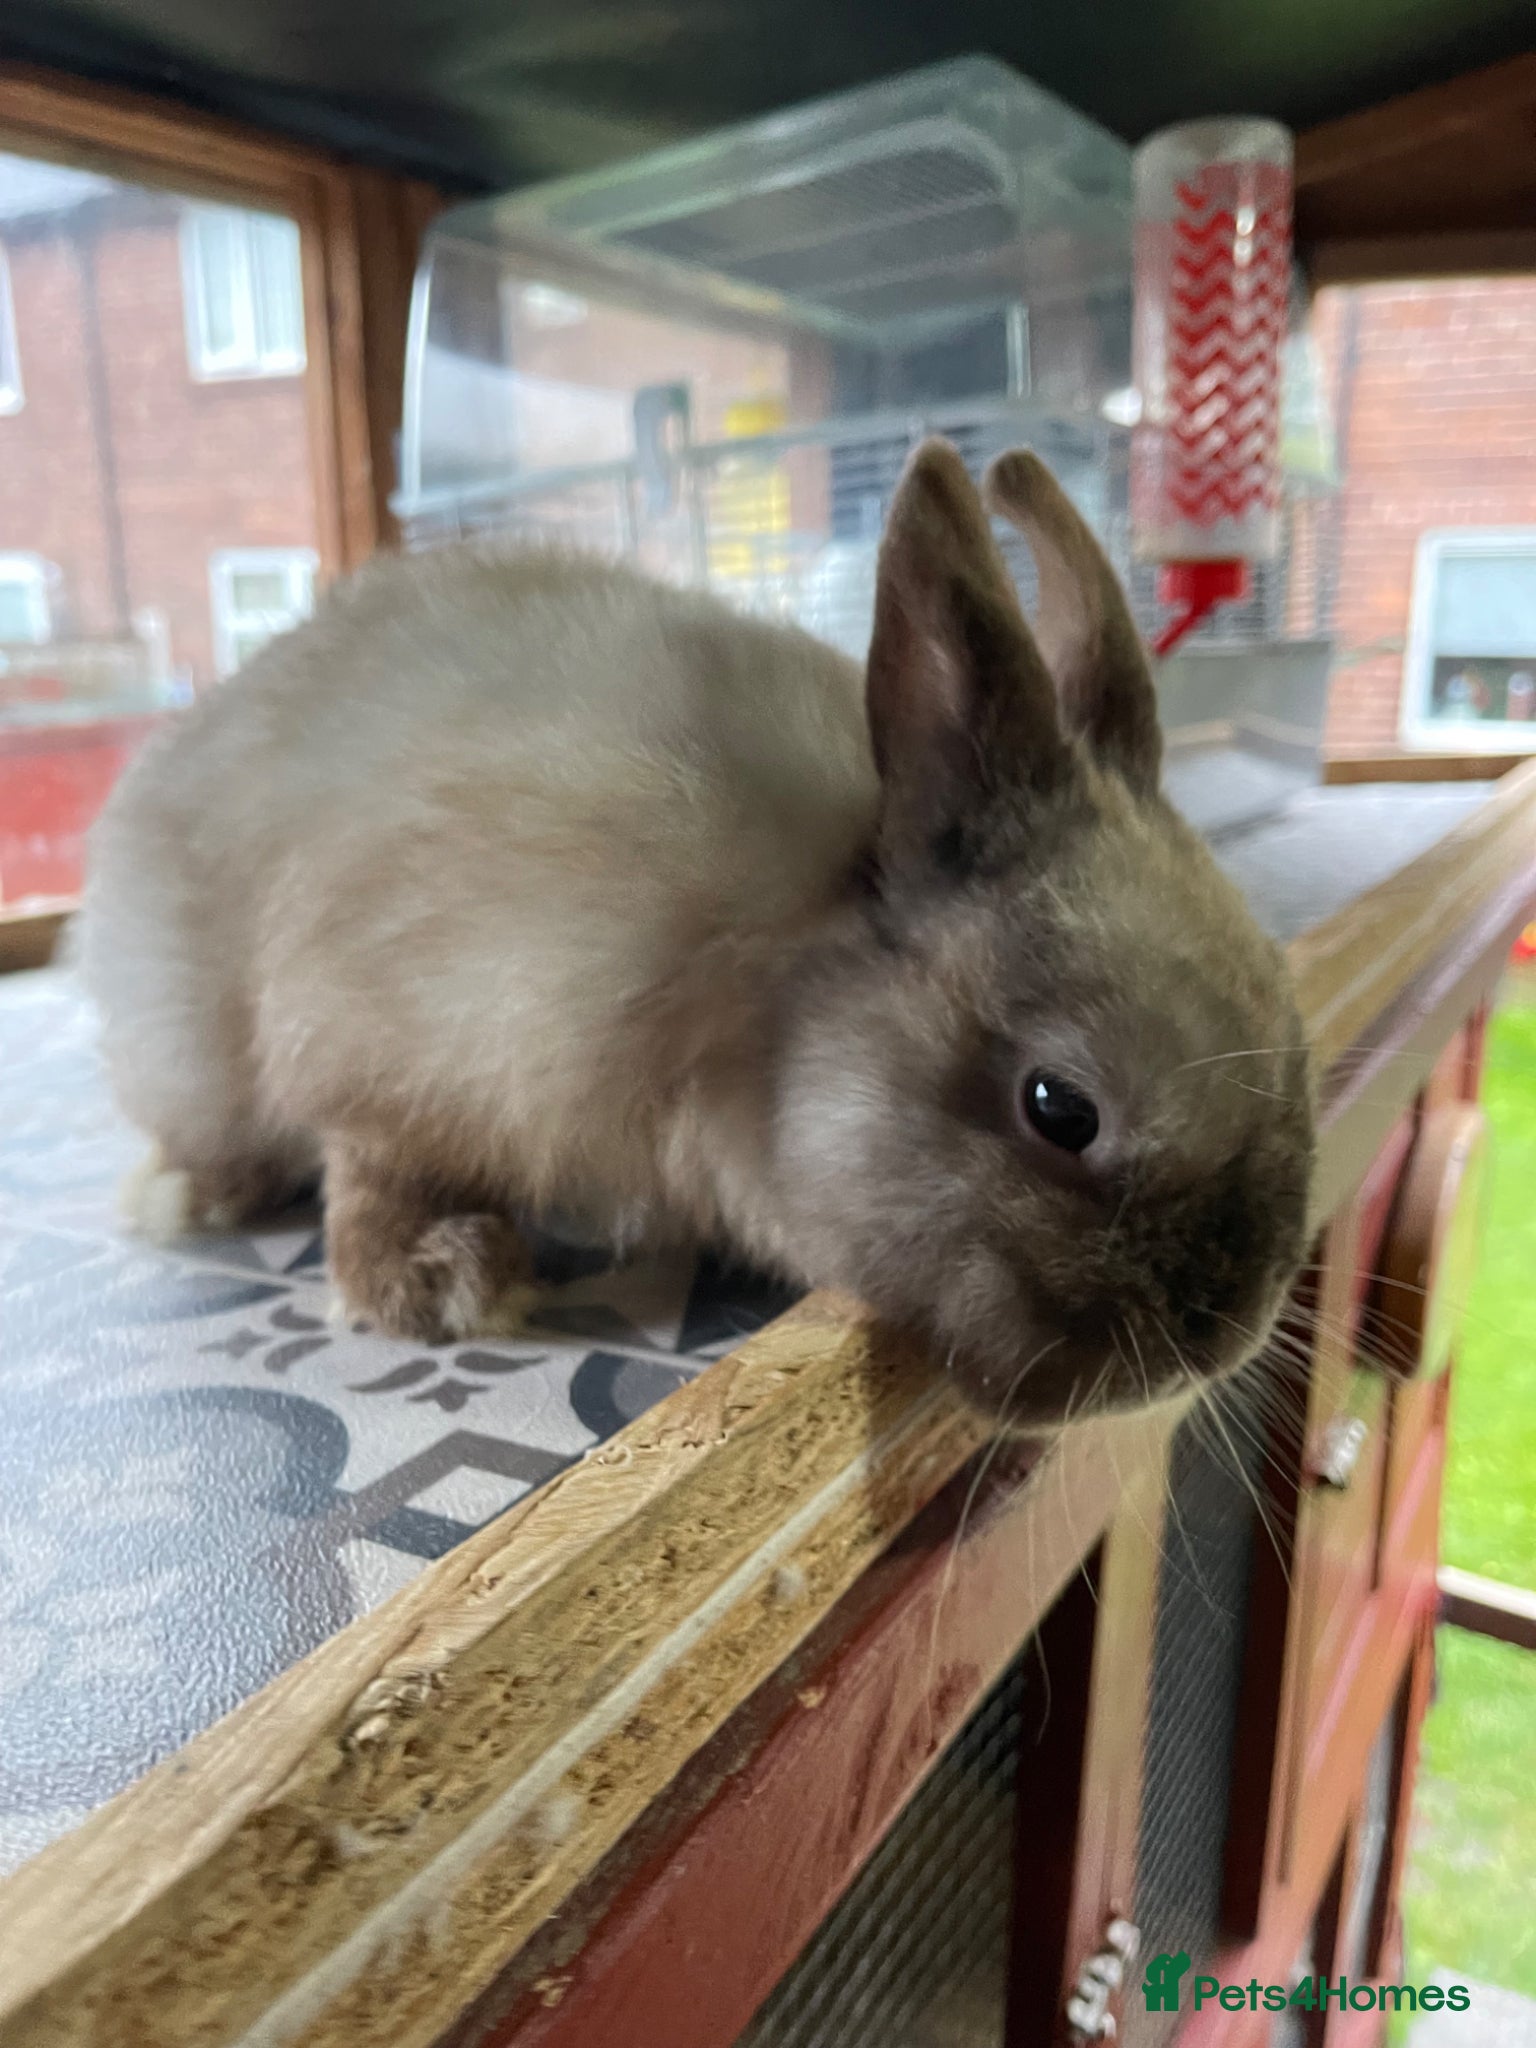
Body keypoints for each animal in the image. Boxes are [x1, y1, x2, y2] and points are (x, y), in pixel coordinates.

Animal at [80, 440, 1313, 1426]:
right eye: (1061, 1109)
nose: (1218, 1340)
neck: (769, 996)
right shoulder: (391, 1035)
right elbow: (369, 1161)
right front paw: (439, 1284)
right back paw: (192, 1196)